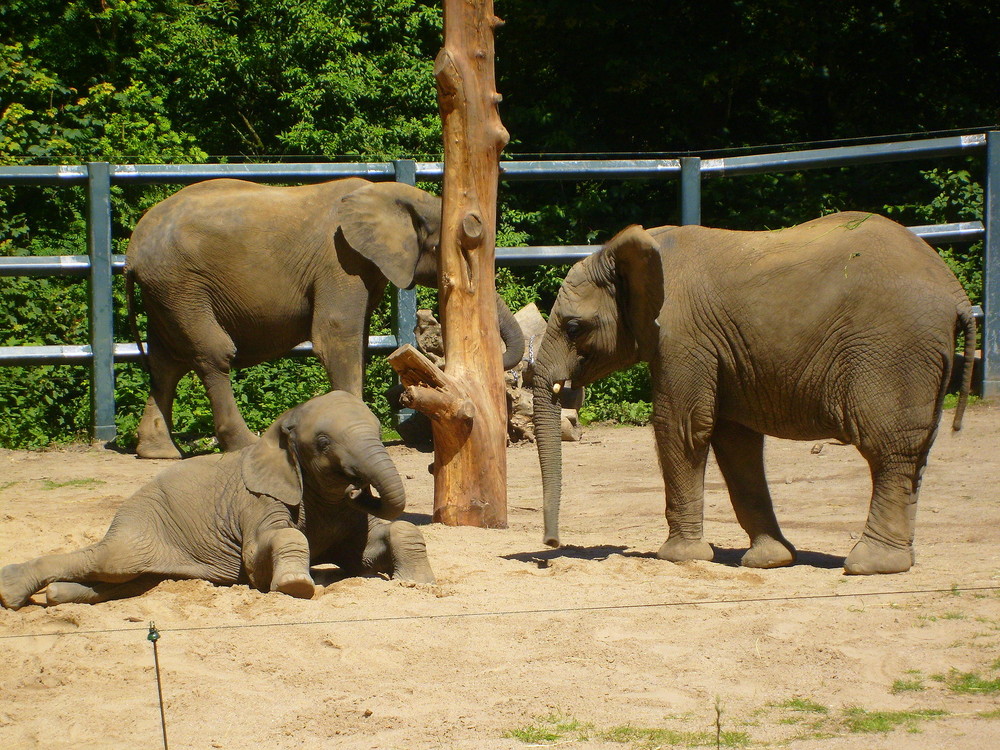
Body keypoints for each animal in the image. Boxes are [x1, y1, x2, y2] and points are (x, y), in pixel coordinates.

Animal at [1, 390, 436, 608]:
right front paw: (297, 586)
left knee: (130, 580)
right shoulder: (258, 502)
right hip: (139, 525)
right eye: (324, 442)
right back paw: (13, 591)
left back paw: (56, 597)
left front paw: (419, 581)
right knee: (111, 561)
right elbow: (267, 551)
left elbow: (371, 549)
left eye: (379, 433)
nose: (357, 488)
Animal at [125, 178, 524, 458]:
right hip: (181, 283)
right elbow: (337, 334)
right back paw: (242, 444)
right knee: (212, 352)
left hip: (167, 290)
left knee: (165, 362)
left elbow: (358, 338)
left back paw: (159, 452)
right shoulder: (340, 257)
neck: (386, 194)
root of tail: (132, 249)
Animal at [536, 214, 972, 580]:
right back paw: (898, 559)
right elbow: (735, 443)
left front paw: (679, 556)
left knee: (888, 449)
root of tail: (956, 294)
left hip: (894, 350)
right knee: (914, 453)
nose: (551, 544)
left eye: (573, 327)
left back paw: (871, 565)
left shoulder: (682, 336)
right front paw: (770, 561)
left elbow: (682, 426)